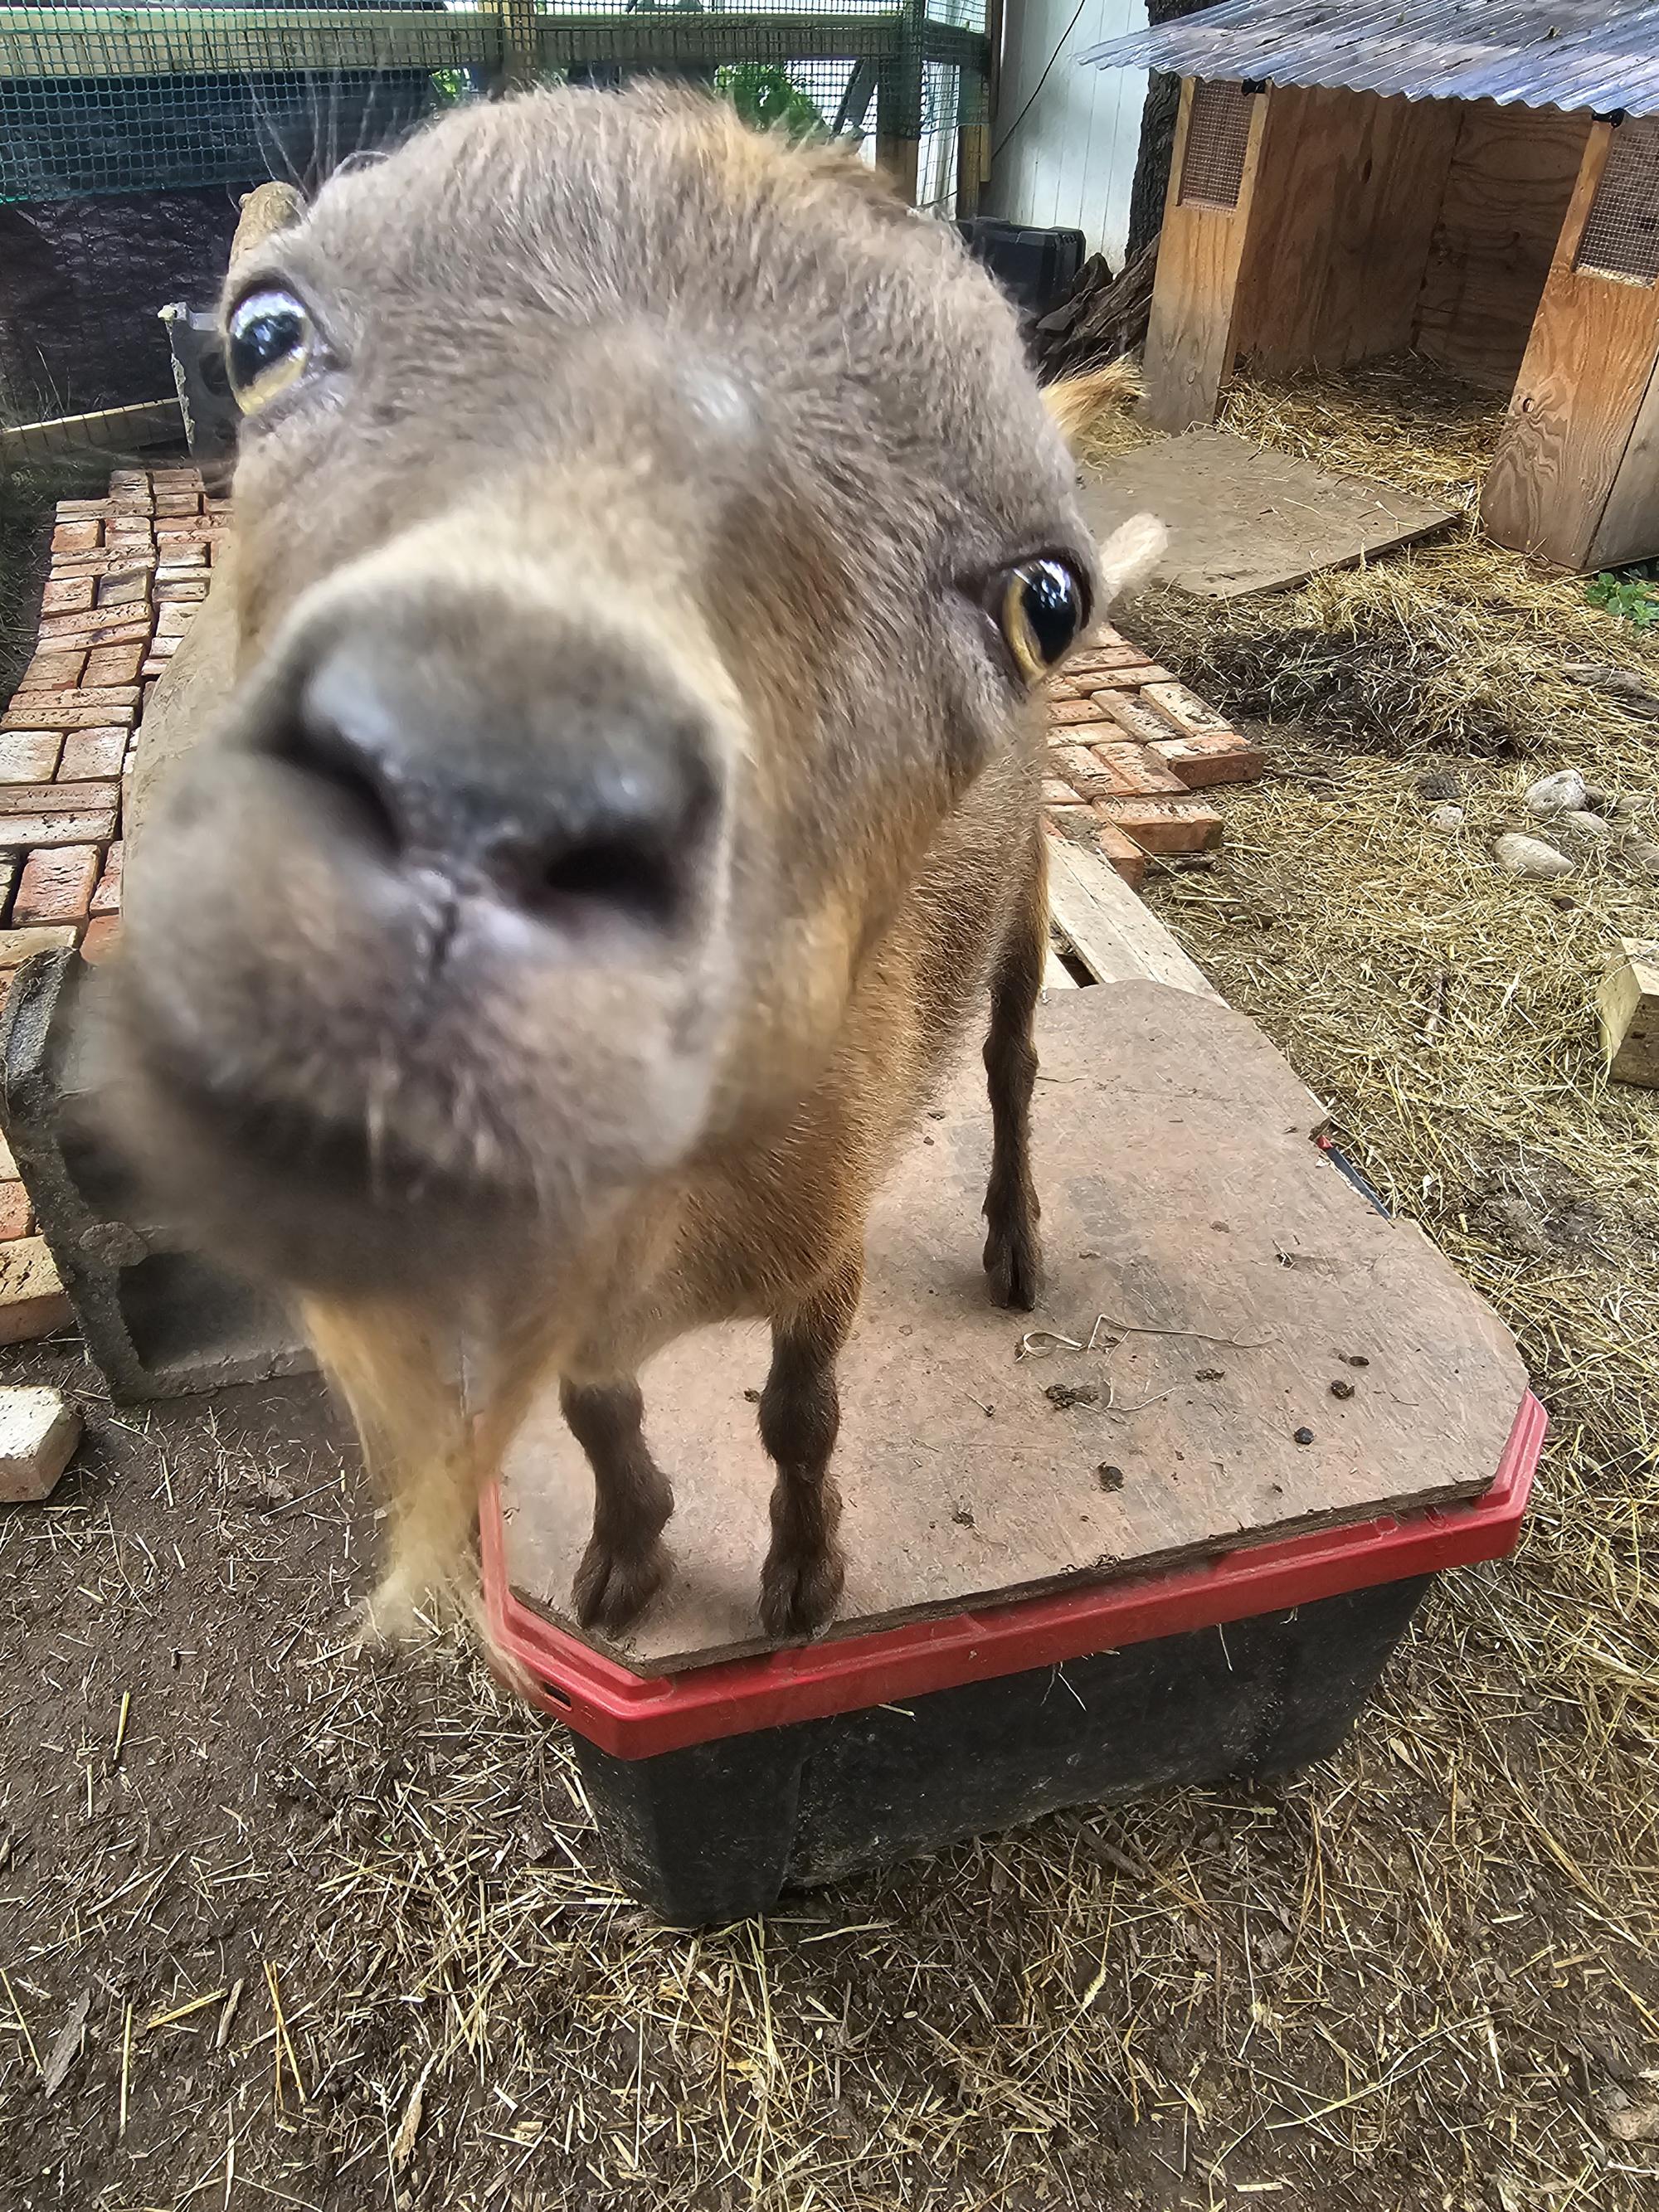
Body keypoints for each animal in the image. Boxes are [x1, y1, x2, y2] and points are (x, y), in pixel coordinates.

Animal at [99, 87, 1165, 1644]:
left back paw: (1014, 1241)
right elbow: (596, 1409)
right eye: (263, 332)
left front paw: (800, 1578)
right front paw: (628, 1551)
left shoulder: (823, 1244)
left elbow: (798, 1413)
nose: (479, 792)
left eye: (1045, 597)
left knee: (1016, 1057)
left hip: (1024, 893)